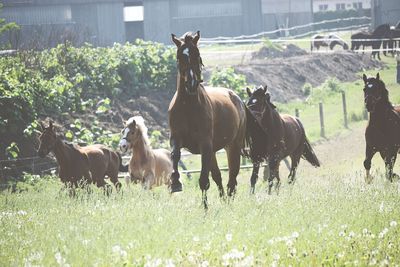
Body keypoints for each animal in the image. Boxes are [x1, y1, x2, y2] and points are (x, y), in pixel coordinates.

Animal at [168, 30, 247, 207]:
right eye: (180, 56)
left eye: (197, 55)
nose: (191, 84)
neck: (188, 106)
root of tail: (235, 97)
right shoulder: (177, 137)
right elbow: (175, 155)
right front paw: (175, 182)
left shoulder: (205, 144)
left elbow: (204, 181)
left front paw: (205, 208)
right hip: (214, 152)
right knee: (218, 176)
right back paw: (224, 199)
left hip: (233, 146)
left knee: (232, 177)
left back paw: (229, 202)